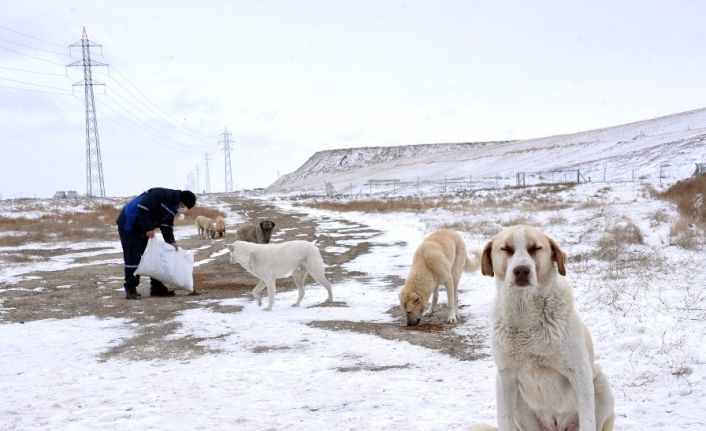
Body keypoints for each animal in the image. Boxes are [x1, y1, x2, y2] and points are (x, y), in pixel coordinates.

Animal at [470, 226, 612, 431]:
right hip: (520, 403)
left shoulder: (580, 371)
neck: (525, 312)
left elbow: (588, 420)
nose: (522, 270)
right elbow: (503, 419)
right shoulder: (505, 376)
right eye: (506, 249)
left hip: (600, 383)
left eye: (536, 248)